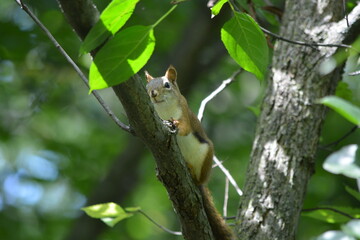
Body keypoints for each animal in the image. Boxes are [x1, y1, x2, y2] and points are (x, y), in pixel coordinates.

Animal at [145, 65, 235, 240]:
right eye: (147, 87)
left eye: (167, 84)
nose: (153, 93)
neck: (164, 110)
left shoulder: (184, 112)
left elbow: (184, 127)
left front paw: (175, 124)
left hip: (205, 154)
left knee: (199, 179)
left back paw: (192, 172)